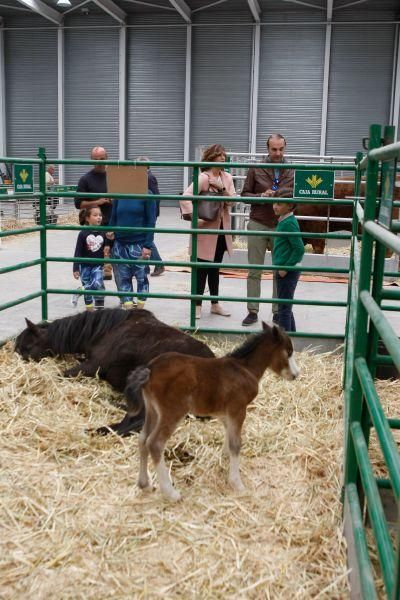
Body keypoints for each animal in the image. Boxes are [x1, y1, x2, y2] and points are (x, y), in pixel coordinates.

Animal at [125, 324, 300, 502]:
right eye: (288, 352)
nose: (296, 374)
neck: (244, 368)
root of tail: (150, 369)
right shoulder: (238, 409)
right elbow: (236, 443)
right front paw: (237, 483)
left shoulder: (226, 412)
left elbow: (229, 435)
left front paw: (225, 458)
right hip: (172, 412)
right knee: (155, 443)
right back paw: (171, 493)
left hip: (152, 410)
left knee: (142, 439)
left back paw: (145, 485)